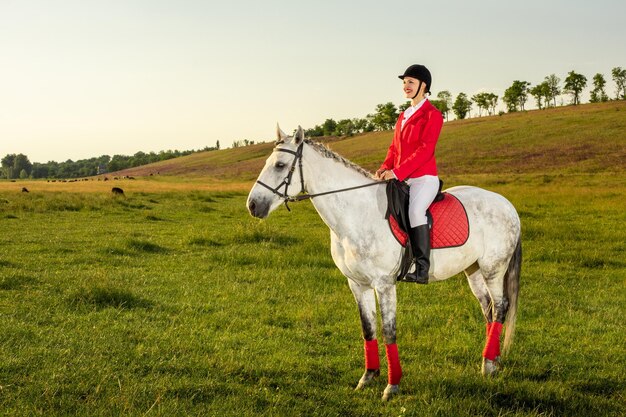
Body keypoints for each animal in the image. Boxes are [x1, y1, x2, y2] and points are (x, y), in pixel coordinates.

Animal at [246, 124, 520, 400]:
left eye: (280, 165)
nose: (253, 205)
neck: (356, 214)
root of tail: (507, 204)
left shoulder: (384, 284)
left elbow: (389, 331)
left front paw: (392, 386)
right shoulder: (357, 284)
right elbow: (368, 329)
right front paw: (368, 377)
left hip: (493, 269)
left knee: (500, 307)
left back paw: (489, 365)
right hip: (473, 271)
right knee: (488, 309)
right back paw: (491, 361)